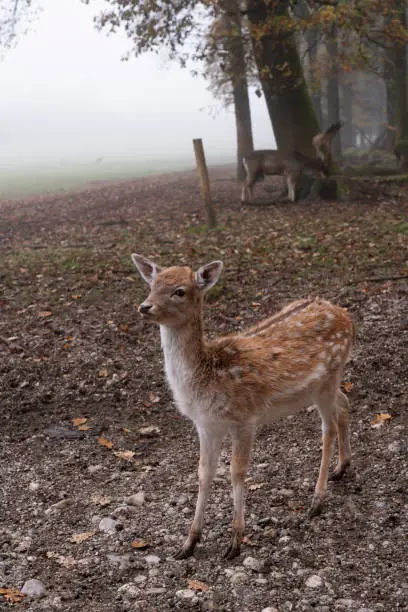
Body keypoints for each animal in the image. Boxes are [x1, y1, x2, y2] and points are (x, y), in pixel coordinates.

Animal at [132, 253, 352, 560]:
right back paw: (342, 467)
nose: (145, 306)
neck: (207, 379)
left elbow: (237, 472)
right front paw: (188, 543)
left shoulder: (246, 418)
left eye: (180, 291)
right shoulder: (205, 425)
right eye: (152, 285)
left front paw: (235, 542)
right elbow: (204, 473)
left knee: (327, 428)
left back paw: (316, 502)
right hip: (326, 384)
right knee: (344, 403)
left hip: (327, 380)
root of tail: (346, 315)